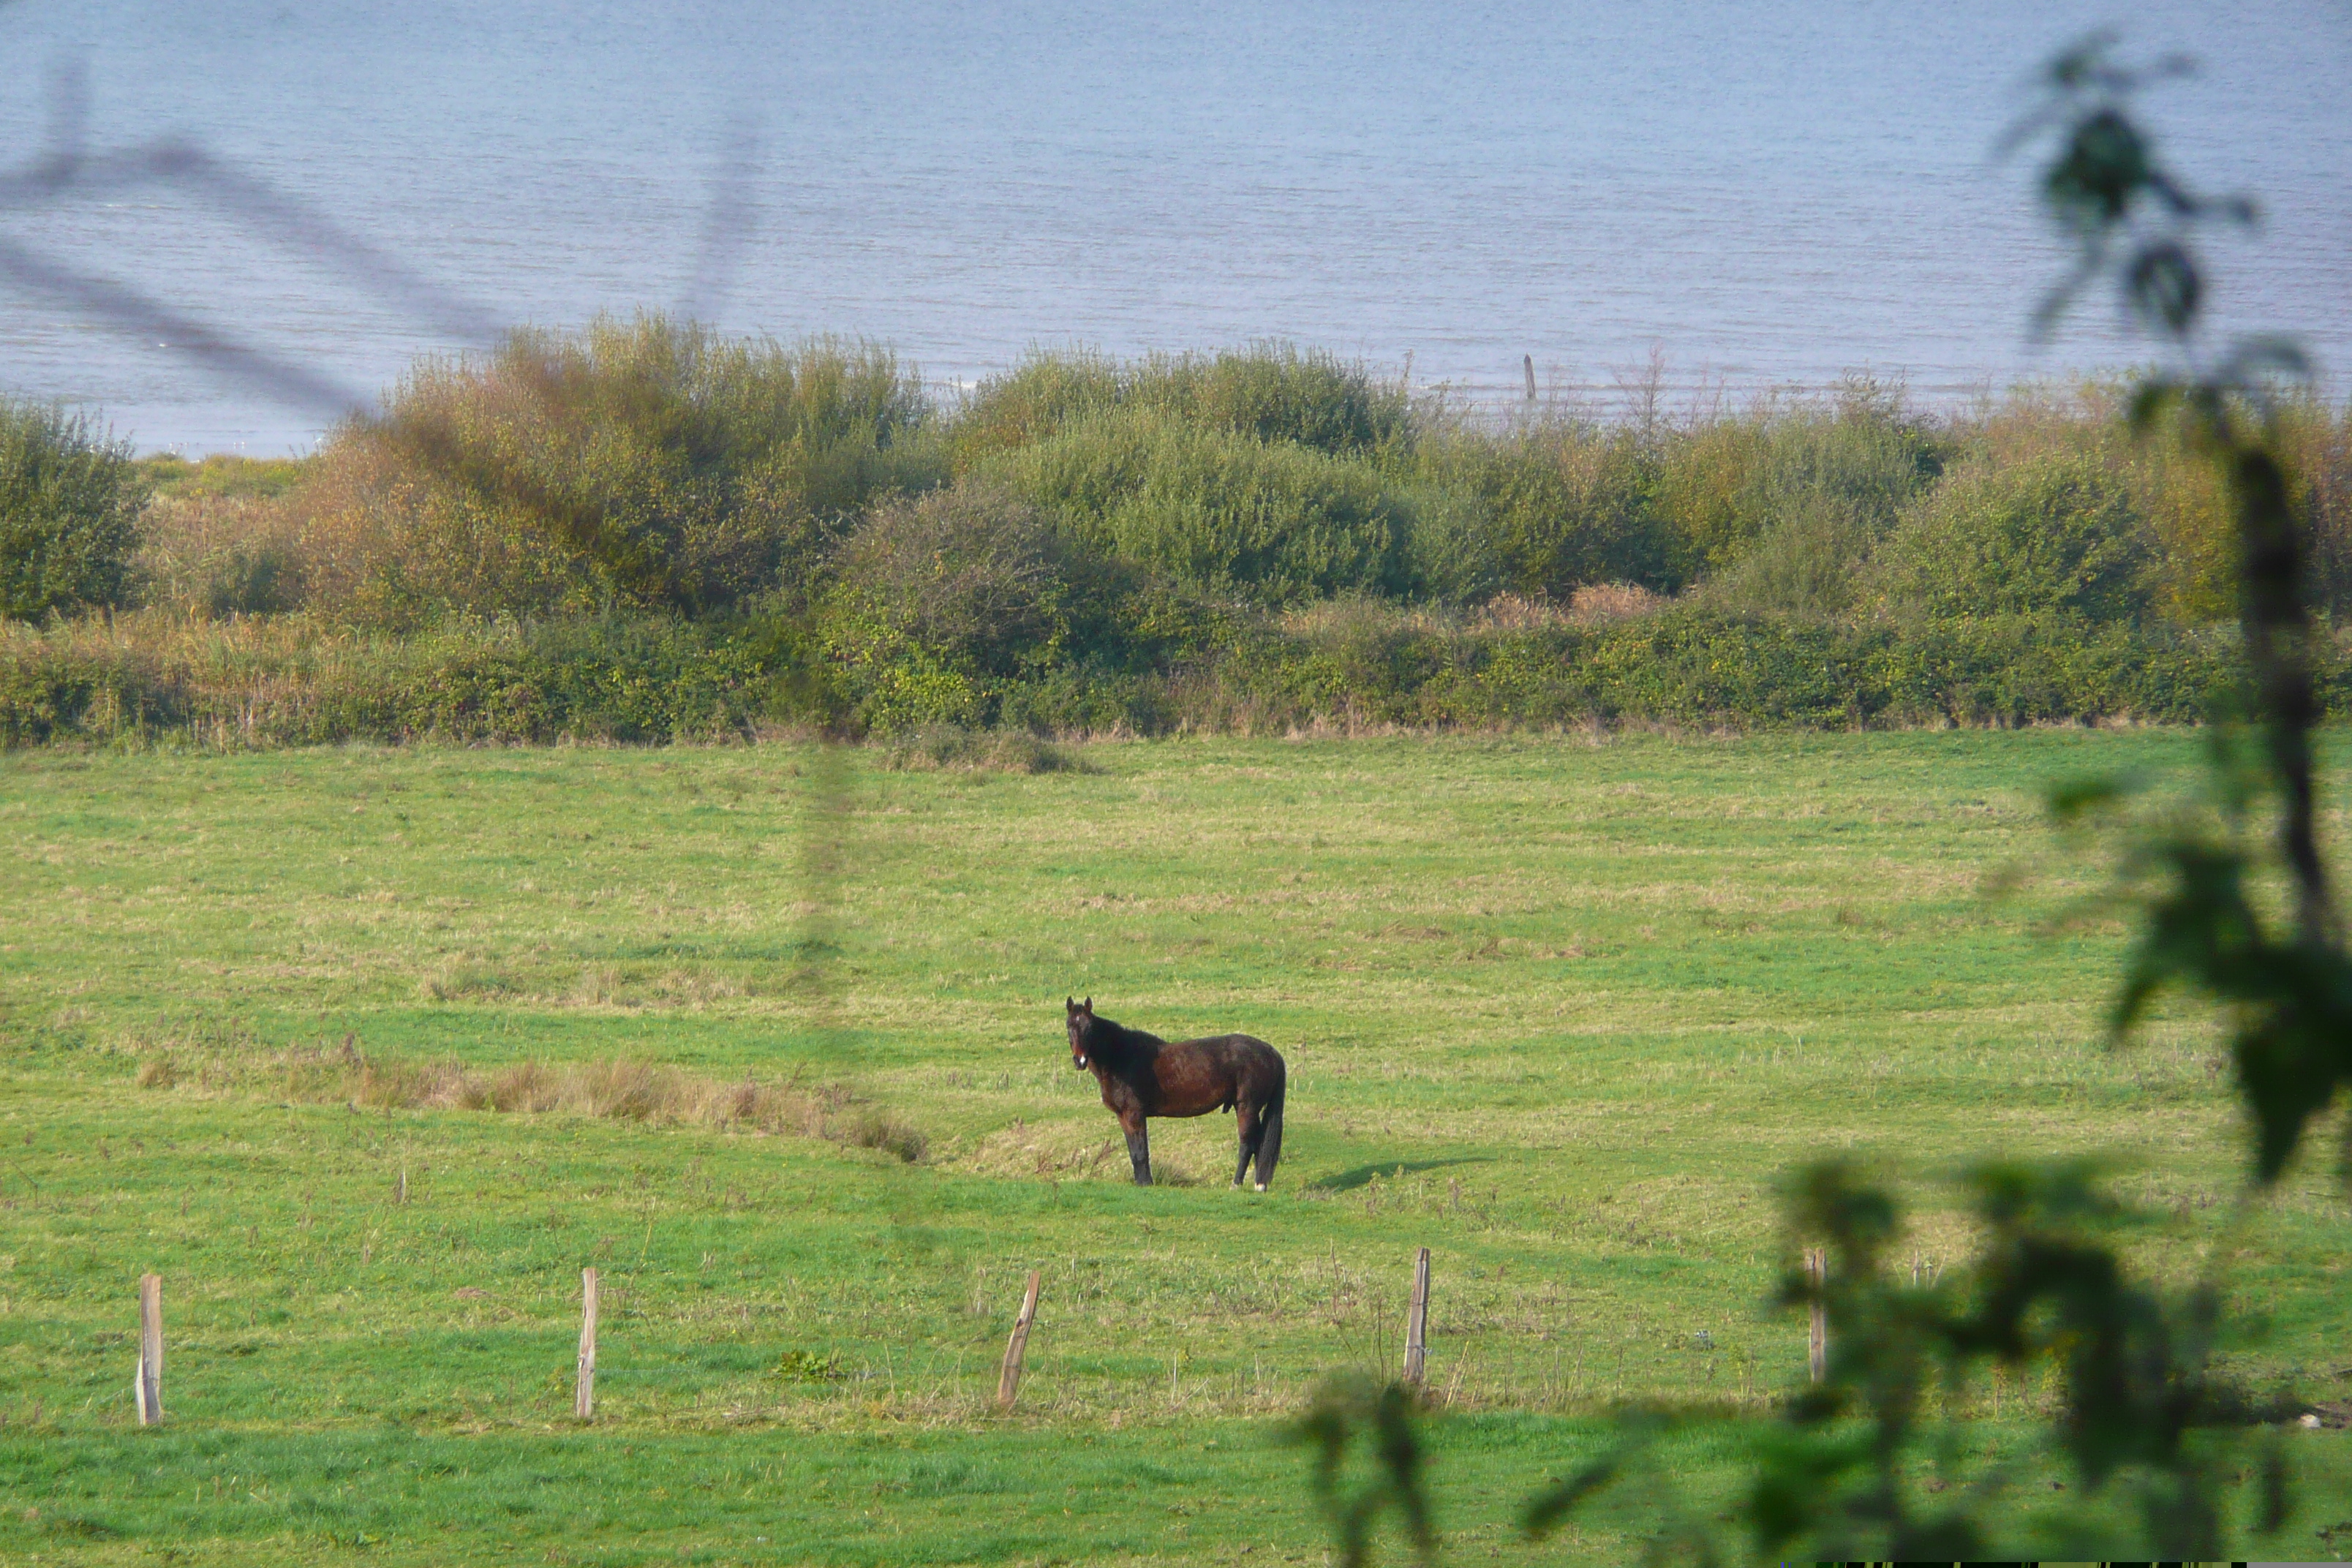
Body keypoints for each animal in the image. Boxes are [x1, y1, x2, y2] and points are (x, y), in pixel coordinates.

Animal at [1068, 1006, 1289, 1189]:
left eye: (1089, 1028)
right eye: (1069, 1026)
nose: (1080, 1061)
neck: (1122, 1057)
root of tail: (1270, 1052)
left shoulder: (1134, 1114)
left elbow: (1141, 1151)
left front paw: (1146, 1183)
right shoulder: (1123, 1116)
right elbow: (1134, 1151)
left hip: (1247, 1107)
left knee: (1247, 1144)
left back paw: (1236, 1184)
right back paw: (1259, 1184)